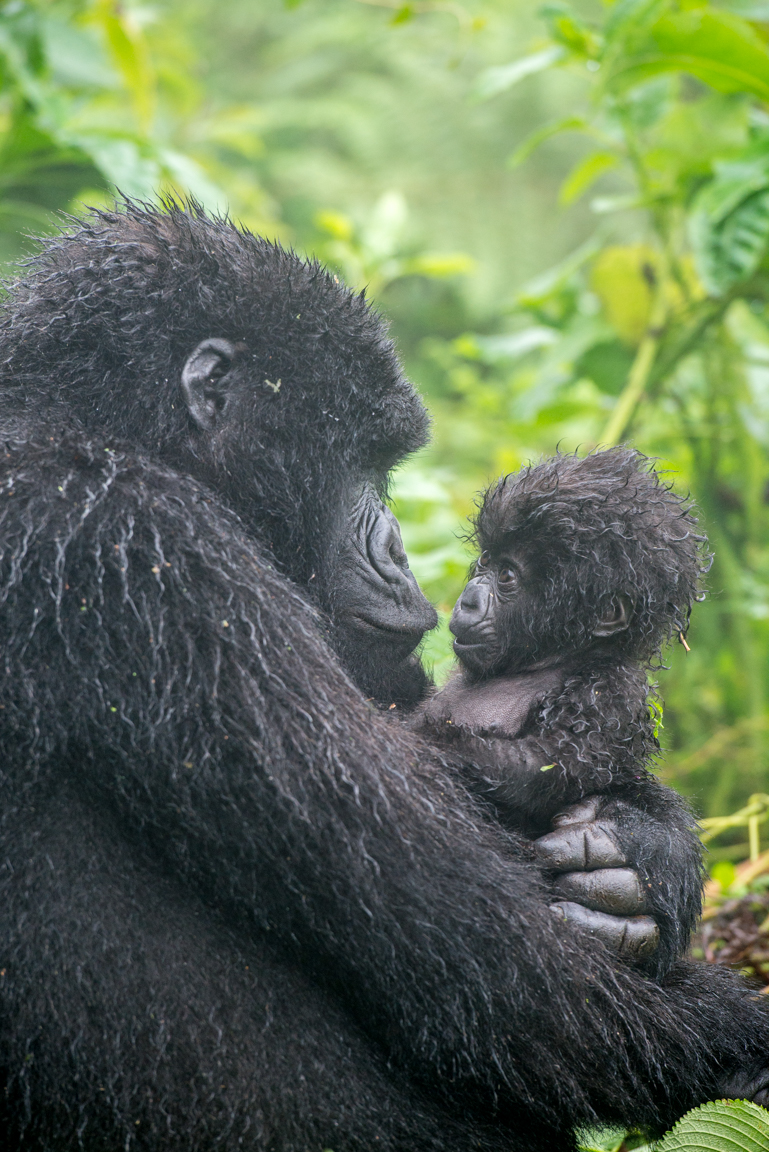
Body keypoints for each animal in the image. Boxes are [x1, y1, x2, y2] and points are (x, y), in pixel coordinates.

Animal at [421, 449, 709, 963]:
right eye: (484, 562)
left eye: (507, 576)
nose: (468, 600)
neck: (551, 657)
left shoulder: (610, 694)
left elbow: (544, 766)